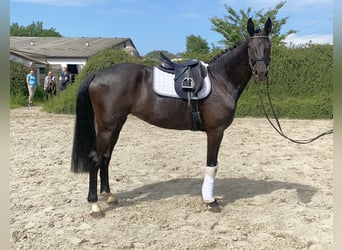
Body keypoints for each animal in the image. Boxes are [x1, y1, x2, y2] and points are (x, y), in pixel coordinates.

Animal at [71, 18, 272, 217]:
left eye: (268, 46)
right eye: (250, 47)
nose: (261, 73)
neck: (220, 79)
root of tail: (97, 74)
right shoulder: (216, 131)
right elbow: (212, 165)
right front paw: (210, 201)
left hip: (116, 125)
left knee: (106, 157)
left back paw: (108, 195)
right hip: (107, 128)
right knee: (95, 159)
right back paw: (95, 205)